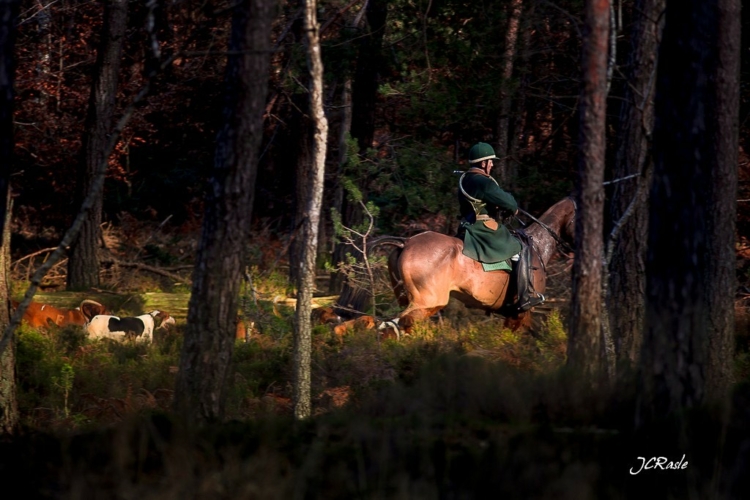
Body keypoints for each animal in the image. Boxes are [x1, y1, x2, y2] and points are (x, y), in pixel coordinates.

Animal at [334, 195, 576, 336]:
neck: (539, 246)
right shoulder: (520, 313)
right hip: (429, 301)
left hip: (410, 297)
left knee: (393, 323)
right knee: (399, 322)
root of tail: (407, 241)